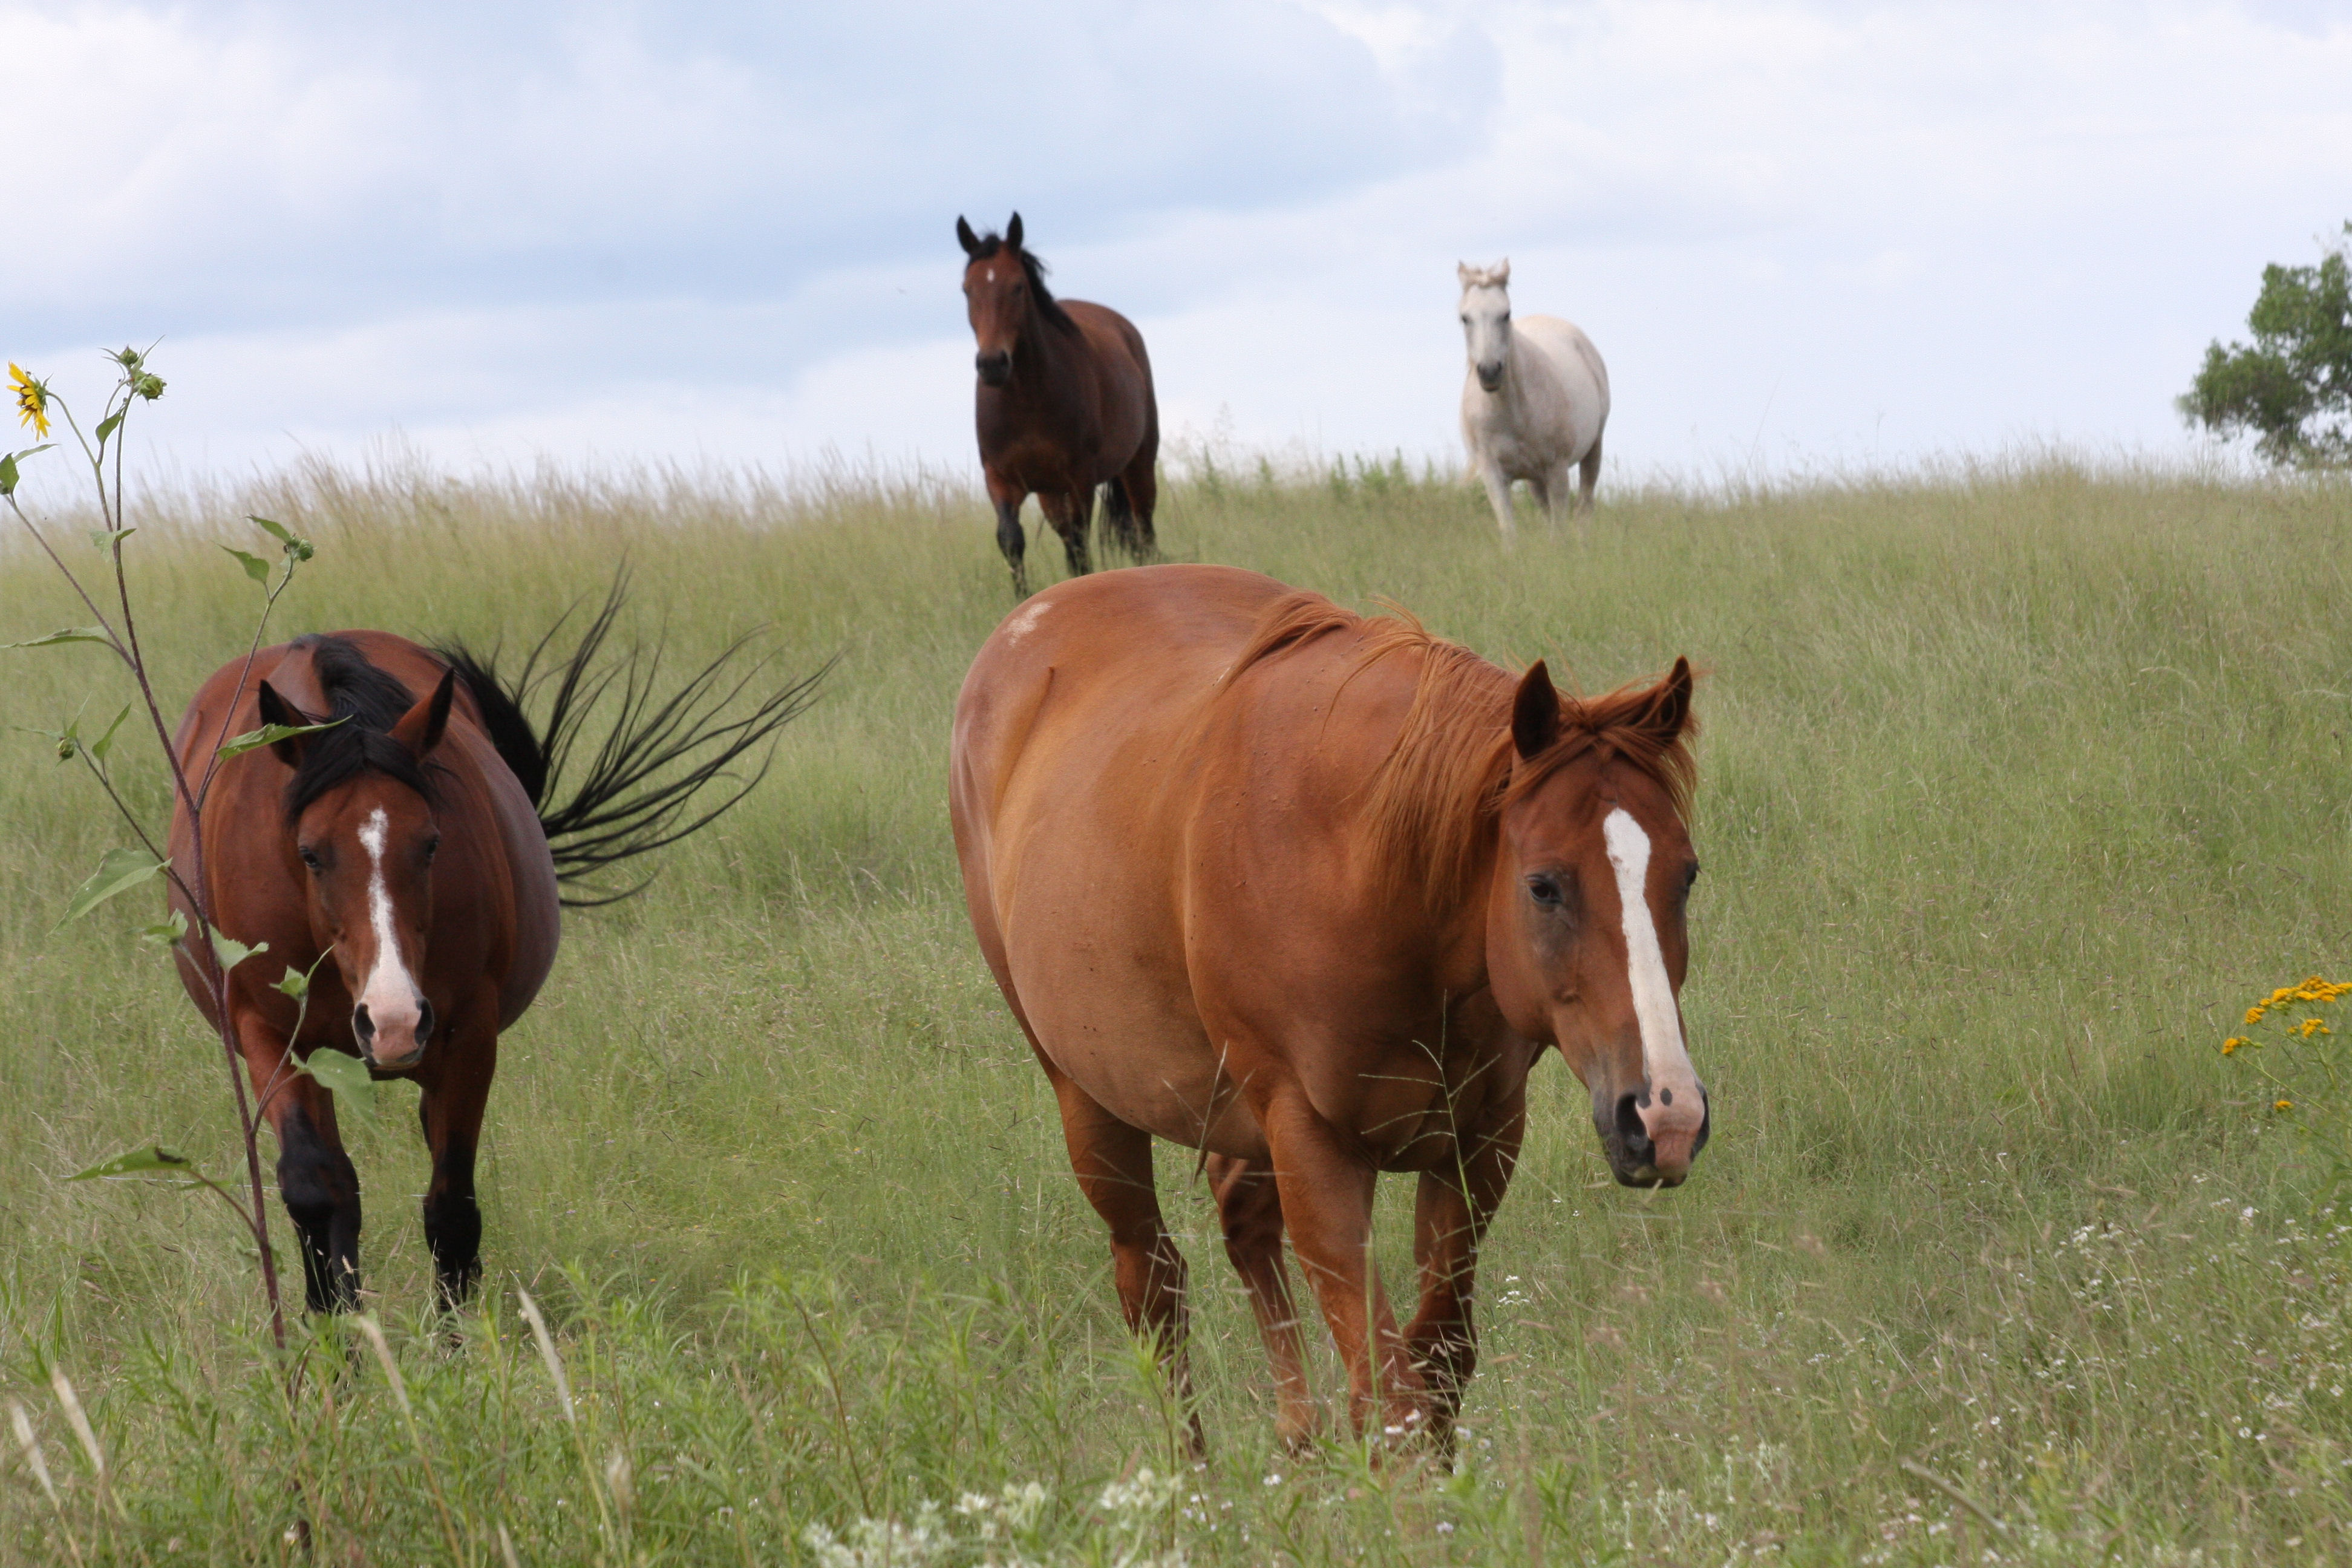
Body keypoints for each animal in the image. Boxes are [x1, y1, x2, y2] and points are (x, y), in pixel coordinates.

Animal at [170, 597, 823, 1316]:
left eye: (431, 843)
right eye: (310, 853)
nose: (393, 1021)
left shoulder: (467, 1036)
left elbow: (451, 1212)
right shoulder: (267, 1031)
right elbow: (316, 1193)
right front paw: (340, 1344)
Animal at [945, 215, 1148, 595]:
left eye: (1018, 287)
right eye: (967, 289)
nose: (992, 364)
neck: (1028, 401)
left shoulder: (1080, 479)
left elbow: (1080, 548)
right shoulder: (1001, 478)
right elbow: (1012, 540)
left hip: (1137, 464)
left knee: (1143, 531)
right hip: (1050, 493)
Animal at [950, 561, 1712, 1448]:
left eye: (1687, 875)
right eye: (1544, 885)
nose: (1664, 1115)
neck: (1372, 878)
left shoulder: (1481, 1136)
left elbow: (1439, 1360)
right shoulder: (1313, 1145)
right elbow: (1388, 1392)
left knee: (1243, 1224)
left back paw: (1298, 1444)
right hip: (1087, 1096)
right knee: (1152, 1284)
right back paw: (1193, 1477)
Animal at [1458, 261, 1609, 543]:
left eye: (1506, 314)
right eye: (1465, 318)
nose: (1489, 372)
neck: (1511, 413)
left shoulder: (1557, 470)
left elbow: (1559, 530)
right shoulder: (1493, 475)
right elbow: (1509, 530)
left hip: (1593, 448)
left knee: (1584, 507)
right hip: (1534, 478)